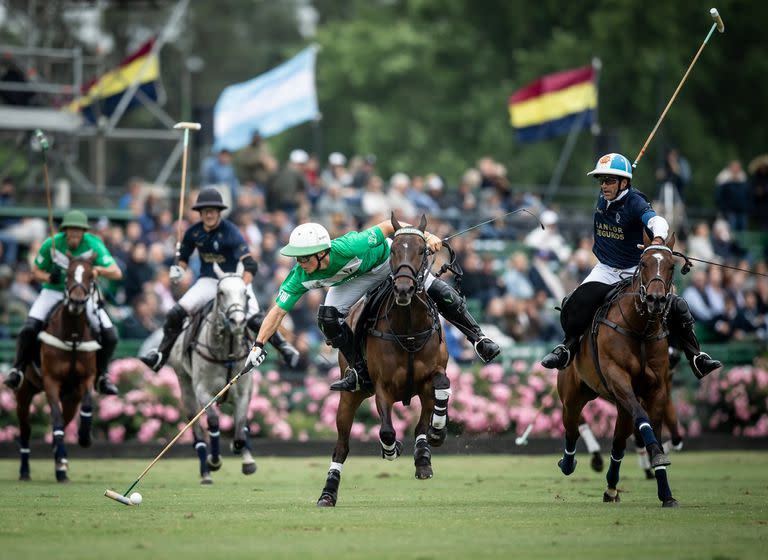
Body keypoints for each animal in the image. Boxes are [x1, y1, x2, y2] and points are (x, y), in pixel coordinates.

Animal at [14, 254, 100, 482]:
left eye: (91, 275)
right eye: (67, 274)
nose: (77, 302)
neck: (73, 337)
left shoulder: (86, 379)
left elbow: (86, 405)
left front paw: (85, 437)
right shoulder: (51, 381)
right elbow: (56, 419)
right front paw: (61, 461)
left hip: (69, 397)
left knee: (65, 420)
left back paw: (60, 461)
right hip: (24, 391)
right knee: (26, 429)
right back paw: (26, 470)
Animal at [168, 260, 255, 484]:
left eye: (245, 293)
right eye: (221, 292)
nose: (238, 322)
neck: (227, 351)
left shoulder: (243, 392)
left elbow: (240, 427)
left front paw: (246, 459)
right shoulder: (203, 390)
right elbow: (214, 422)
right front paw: (214, 461)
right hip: (185, 385)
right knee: (198, 430)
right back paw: (206, 472)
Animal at [316, 214, 450, 508]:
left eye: (422, 250)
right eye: (395, 251)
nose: (403, 289)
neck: (408, 329)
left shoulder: (429, 379)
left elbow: (437, 395)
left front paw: (431, 442)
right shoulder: (382, 387)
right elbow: (387, 430)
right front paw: (391, 449)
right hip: (350, 396)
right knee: (341, 446)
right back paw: (327, 494)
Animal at [556, 232, 680, 508]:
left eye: (671, 266)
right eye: (643, 263)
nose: (656, 299)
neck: (640, 329)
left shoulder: (658, 389)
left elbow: (652, 432)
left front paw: (666, 492)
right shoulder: (618, 378)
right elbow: (643, 420)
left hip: (620, 404)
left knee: (618, 444)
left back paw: (612, 488)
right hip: (573, 395)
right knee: (572, 427)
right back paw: (569, 462)